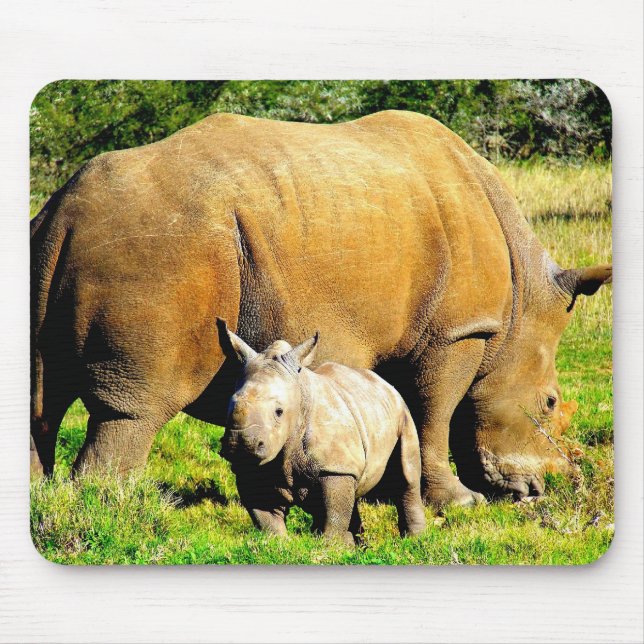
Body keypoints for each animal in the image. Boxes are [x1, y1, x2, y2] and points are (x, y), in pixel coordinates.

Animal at [30, 110, 611, 506]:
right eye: (551, 403)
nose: (545, 486)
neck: (521, 297)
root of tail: (64, 208)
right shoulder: (460, 331)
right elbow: (435, 413)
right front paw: (459, 502)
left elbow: (407, 412)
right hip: (164, 251)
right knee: (135, 406)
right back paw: (120, 510)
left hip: (60, 246)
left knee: (43, 396)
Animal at [216, 320, 426, 544]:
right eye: (228, 406)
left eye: (279, 412)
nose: (240, 444)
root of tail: (385, 383)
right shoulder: (253, 466)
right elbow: (267, 516)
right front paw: (277, 543)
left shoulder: (335, 465)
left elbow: (333, 513)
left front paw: (331, 546)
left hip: (402, 412)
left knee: (407, 476)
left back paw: (415, 540)